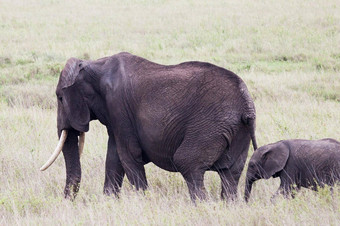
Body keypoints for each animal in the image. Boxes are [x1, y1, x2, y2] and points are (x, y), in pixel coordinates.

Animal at [39, 52, 258, 200]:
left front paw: (142, 200)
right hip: (237, 130)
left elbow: (129, 157)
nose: (68, 201)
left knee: (188, 163)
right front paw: (109, 202)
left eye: (60, 97)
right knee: (230, 174)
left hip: (210, 126)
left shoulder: (118, 106)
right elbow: (114, 159)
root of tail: (246, 107)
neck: (93, 65)